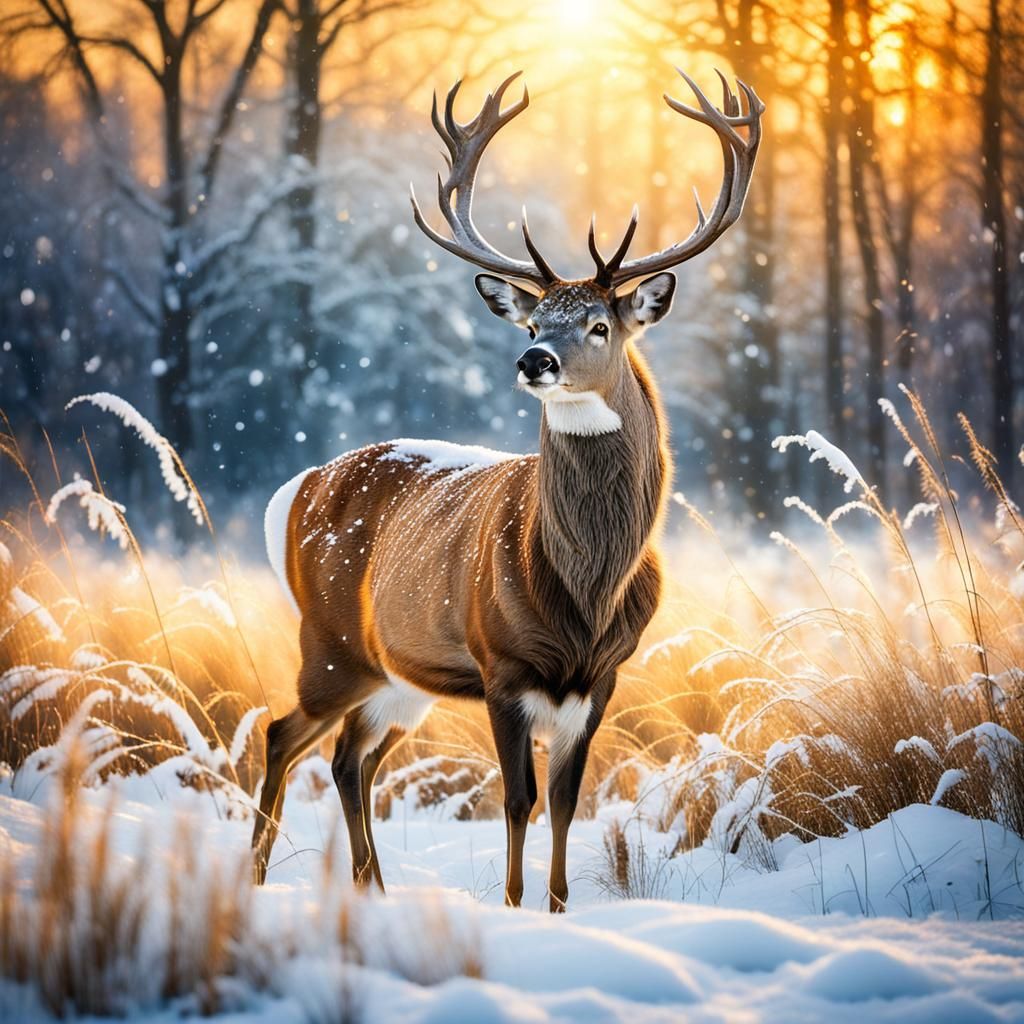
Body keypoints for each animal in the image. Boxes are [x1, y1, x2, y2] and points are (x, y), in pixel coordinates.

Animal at [252, 68, 763, 911]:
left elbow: (565, 801)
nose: (534, 360)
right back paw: (255, 875)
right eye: (532, 323)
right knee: (283, 733)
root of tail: (292, 489)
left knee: (351, 759)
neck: (584, 592)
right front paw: (517, 907)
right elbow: (517, 799)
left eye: (598, 325)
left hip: (396, 676)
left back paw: (372, 888)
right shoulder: (501, 665)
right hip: (329, 643)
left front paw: (557, 906)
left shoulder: (601, 678)